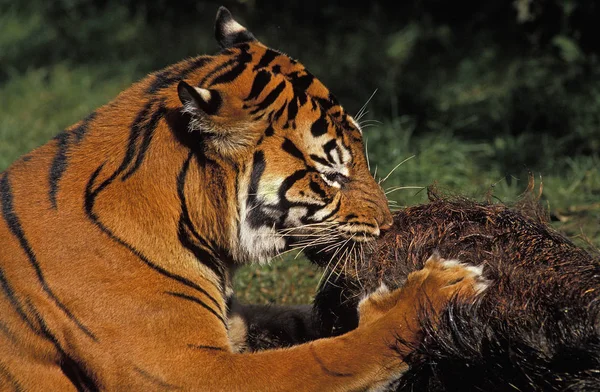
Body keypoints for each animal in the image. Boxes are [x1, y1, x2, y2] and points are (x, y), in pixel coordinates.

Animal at [0, 6, 486, 392]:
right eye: (331, 174)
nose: (388, 225)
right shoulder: (188, 370)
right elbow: (328, 358)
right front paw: (436, 290)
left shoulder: (234, 319)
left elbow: (297, 320)